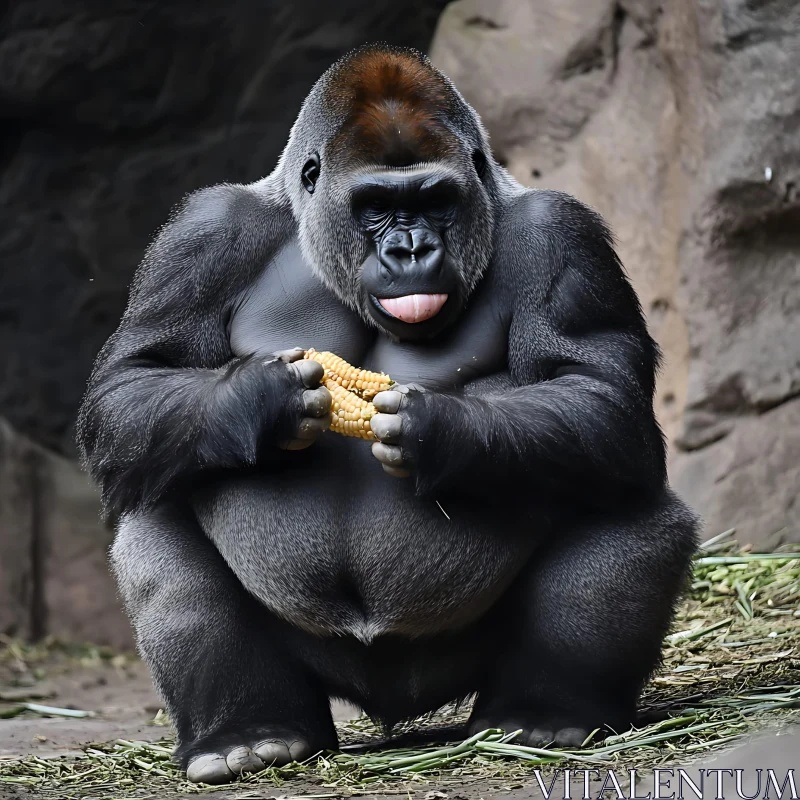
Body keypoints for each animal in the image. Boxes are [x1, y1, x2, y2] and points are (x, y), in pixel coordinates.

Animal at [76, 43, 700, 780]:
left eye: (435, 200)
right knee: (157, 512)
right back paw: (248, 731)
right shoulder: (204, 234)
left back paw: (546, 712)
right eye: (375, 206)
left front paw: (446, 432)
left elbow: (604, 398)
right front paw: (263, 400)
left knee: (619, 492)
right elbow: (131, 385)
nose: (410, 250)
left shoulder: (561, 233)